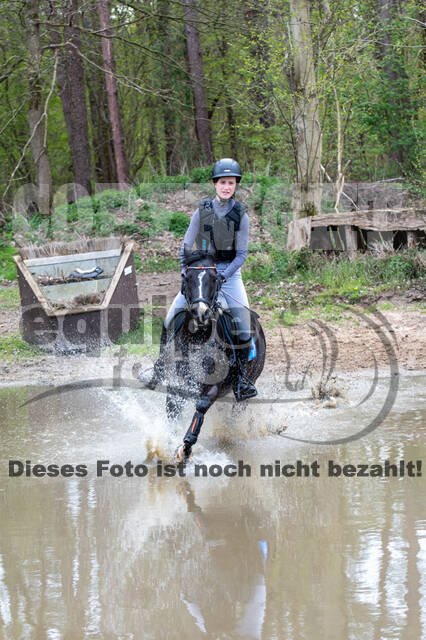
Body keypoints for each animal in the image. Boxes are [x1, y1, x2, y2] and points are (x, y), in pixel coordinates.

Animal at [160, 249, 266, 460]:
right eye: (187, 278)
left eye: (214, 278)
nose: (200, 313)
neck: (197, 338)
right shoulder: (178, 380)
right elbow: (173, 407)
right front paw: (168, 440)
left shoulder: (214, 385)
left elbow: (201, 406)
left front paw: (186, 447)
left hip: (249, 383)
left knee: (236, 412)